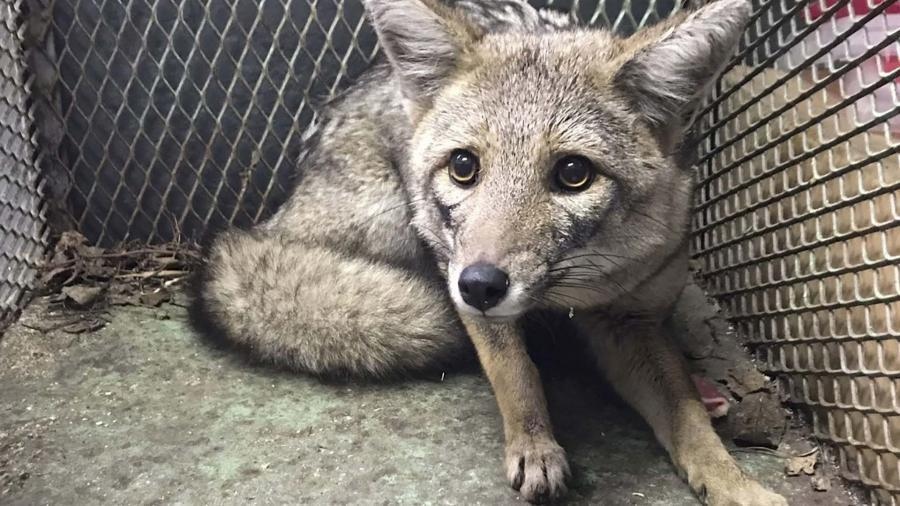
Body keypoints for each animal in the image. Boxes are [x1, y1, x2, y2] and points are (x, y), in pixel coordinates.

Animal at [188, 1, 788, 504]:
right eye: (463, 166)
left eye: (573, 173)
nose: (477, 284)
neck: (575, 287)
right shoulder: (462, 277)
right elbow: (515, 371)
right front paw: (535, 446)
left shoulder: (632, 318)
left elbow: (687, 419)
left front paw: (738, 483)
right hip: (396, 223)